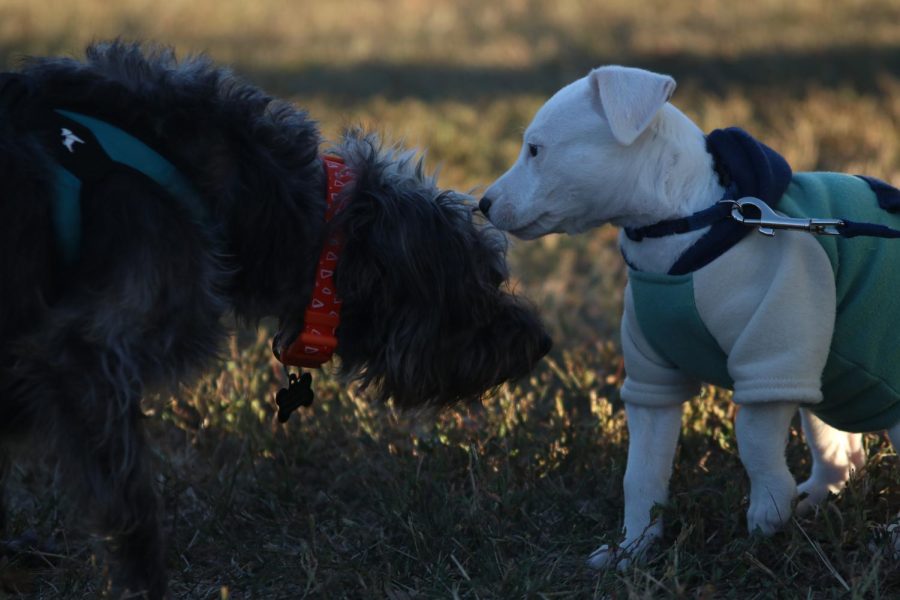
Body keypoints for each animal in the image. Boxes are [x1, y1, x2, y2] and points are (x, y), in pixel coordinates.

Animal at [482, 64, 900, 568]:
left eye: (536, 149)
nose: (482, 203)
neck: (686, 223)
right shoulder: (652, 381)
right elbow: (641, 473)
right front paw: (630, 549)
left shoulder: (774, 353)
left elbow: (752, 435)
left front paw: (767, 508)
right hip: (830, 387)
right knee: (840, 454)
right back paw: (815, 497)